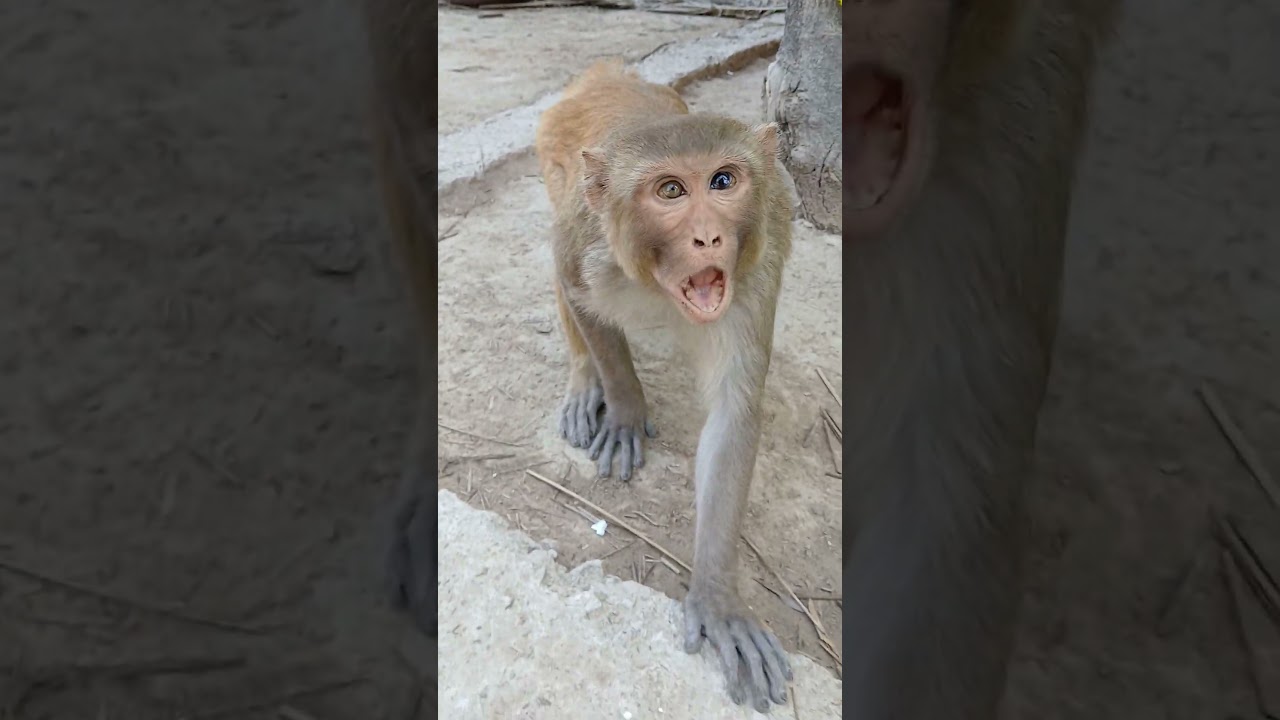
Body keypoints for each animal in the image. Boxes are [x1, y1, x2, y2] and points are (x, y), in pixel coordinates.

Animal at [534, 60, 796, 712]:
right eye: (671, 191)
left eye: (724, 181)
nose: (708, 238)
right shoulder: (588, 242)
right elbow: (574, 285)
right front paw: (624, 409)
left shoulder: (758, 264)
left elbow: (732, 414)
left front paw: (719, 598)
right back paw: (586, 383)